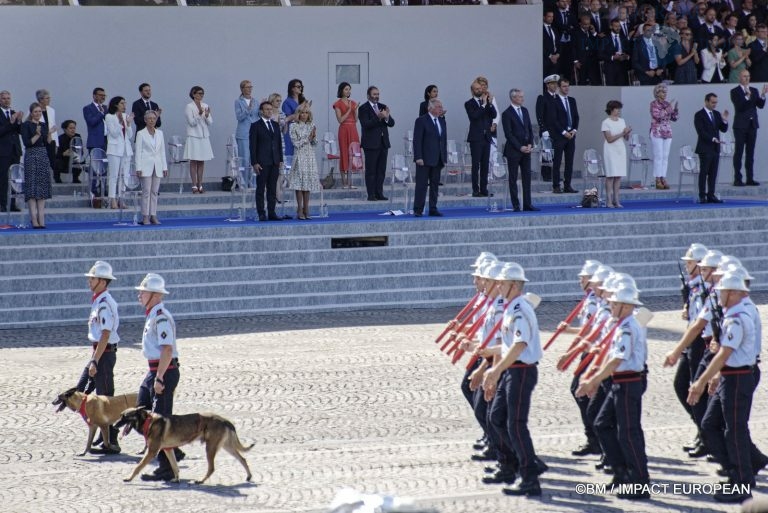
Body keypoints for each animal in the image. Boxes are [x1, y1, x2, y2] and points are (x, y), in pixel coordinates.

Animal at [117, 406, 254, 482]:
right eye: (120, 415)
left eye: (125, 416)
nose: (114, 425)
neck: (148, 421)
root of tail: (225, 420)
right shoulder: (168, 450)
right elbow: (174, 466)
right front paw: (176, 479)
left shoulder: (151, 452)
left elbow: (138, 466)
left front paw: (129, 478)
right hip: (227, 446)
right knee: (243, 458)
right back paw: (249, 476)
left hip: (210, 448)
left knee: (212, 468)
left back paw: (201, 481)